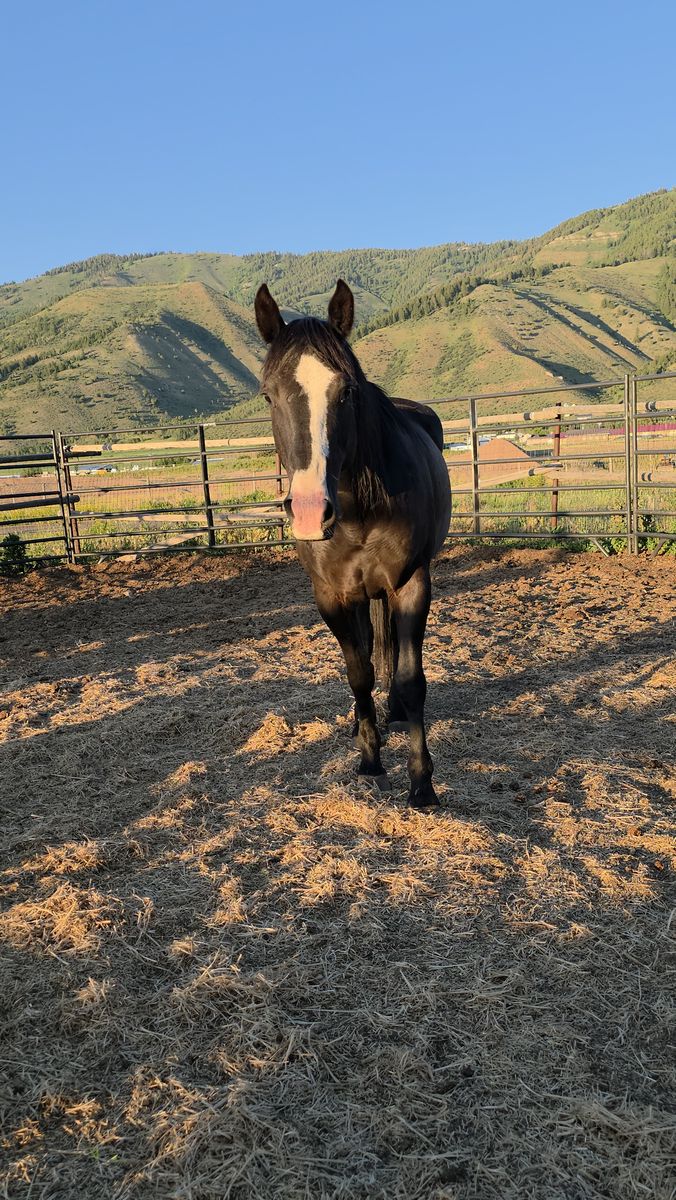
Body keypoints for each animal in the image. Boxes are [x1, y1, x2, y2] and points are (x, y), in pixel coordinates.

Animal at [254, 280, 451, 809]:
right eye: (268, 395)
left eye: (346, 391)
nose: (308, 511)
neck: (359, 508)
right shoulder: (332, 596)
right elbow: (357, 671)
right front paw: (369, 758)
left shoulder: (411, 584)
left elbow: (411, 678)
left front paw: (421, 783)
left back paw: (395, 712)